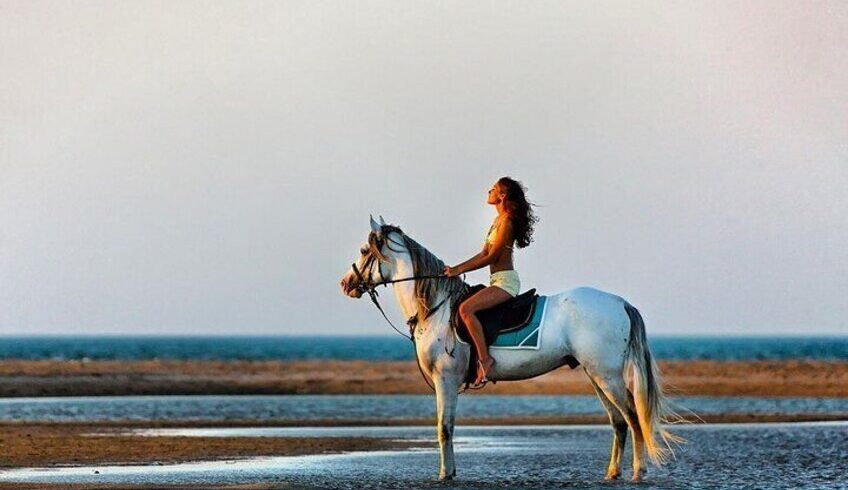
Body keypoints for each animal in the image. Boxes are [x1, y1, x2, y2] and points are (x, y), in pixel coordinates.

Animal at [342, 216, 680, 480]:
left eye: (363, 251)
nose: (346, 284)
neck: (436, 308)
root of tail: (619, 302)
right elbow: (446, 428)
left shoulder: (445, 379)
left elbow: (444, 428)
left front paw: (445, 474)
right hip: (596, 376)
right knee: (618, 422)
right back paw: (612, 473)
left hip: (607, 376)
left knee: (633, 417)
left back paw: (638, 471)